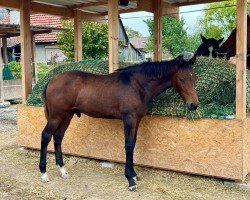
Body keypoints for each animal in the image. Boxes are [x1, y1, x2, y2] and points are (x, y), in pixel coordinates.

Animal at [39, 54, 199, 191]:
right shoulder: (129, 118)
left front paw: (134, 174)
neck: (138, 85)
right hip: (57, 116)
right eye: (182, 79)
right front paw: (130, 180)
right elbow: (128, 145)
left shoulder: (137, 119)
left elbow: (133, 144)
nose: (194, 105)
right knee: (46, 135)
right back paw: (44, 173)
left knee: (58, 136)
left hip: (67, 115)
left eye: (194, 78)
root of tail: (52, 80)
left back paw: (63, 170)